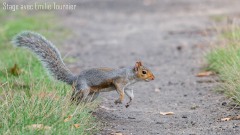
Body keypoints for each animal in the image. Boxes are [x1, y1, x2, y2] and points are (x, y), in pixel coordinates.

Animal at [11, 31, 154, 107]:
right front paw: (119, 100)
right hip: (83, 89)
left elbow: (131, 95)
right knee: (74, 98)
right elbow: (121, 91)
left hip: (94, 93)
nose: (153, 78)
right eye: (144, 72)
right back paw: (75, 106)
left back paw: (84, 107)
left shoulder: (128, 87)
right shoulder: (119, 81)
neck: (130, 76)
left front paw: (129, 102)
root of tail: (75, 78)